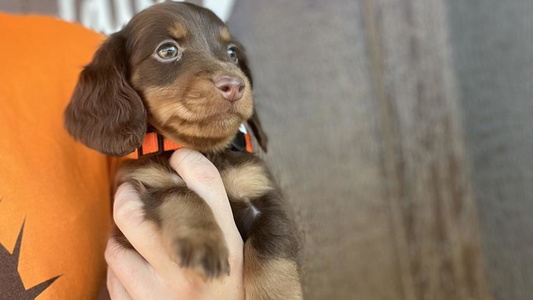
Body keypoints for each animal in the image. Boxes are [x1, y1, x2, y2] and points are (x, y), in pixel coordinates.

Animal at [63, 1, 300, 298]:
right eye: (167, 50)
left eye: (232, 53)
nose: (235, 86)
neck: (204, 151)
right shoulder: (143, 186)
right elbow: (181, 193)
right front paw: (203, 242)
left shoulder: (262, 194)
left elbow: (273, 251)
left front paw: (278, 292)